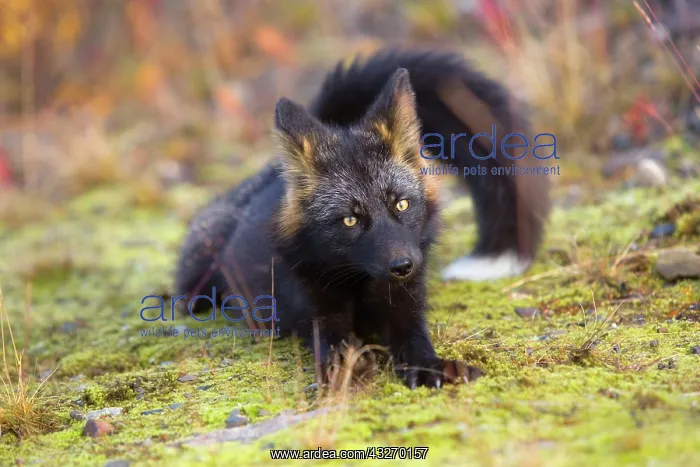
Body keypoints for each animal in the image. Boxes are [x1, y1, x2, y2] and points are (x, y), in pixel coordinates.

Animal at [174, 49, 551, 388]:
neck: (360, 287)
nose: (403, 266)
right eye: (350, 221)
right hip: (197, 276)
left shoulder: (407, 307)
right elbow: (335, 349)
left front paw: (430, 367)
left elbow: (416, 342)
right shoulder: (318, 314)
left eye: (401, 205)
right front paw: (347, 373)